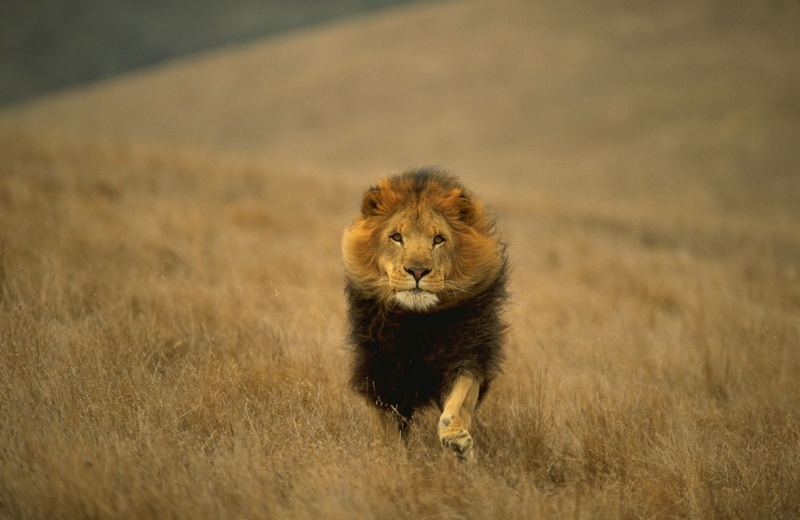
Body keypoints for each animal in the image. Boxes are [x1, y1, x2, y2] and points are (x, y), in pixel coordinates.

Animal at [342, 167, 508, 462]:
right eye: (397, 237)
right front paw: (390, 459)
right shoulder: (380, 372)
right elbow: (386, 431)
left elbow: (457, 404)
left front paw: (456, 440)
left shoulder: (467, 355)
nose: (417, 271)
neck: (418, 322)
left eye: (438, 239)